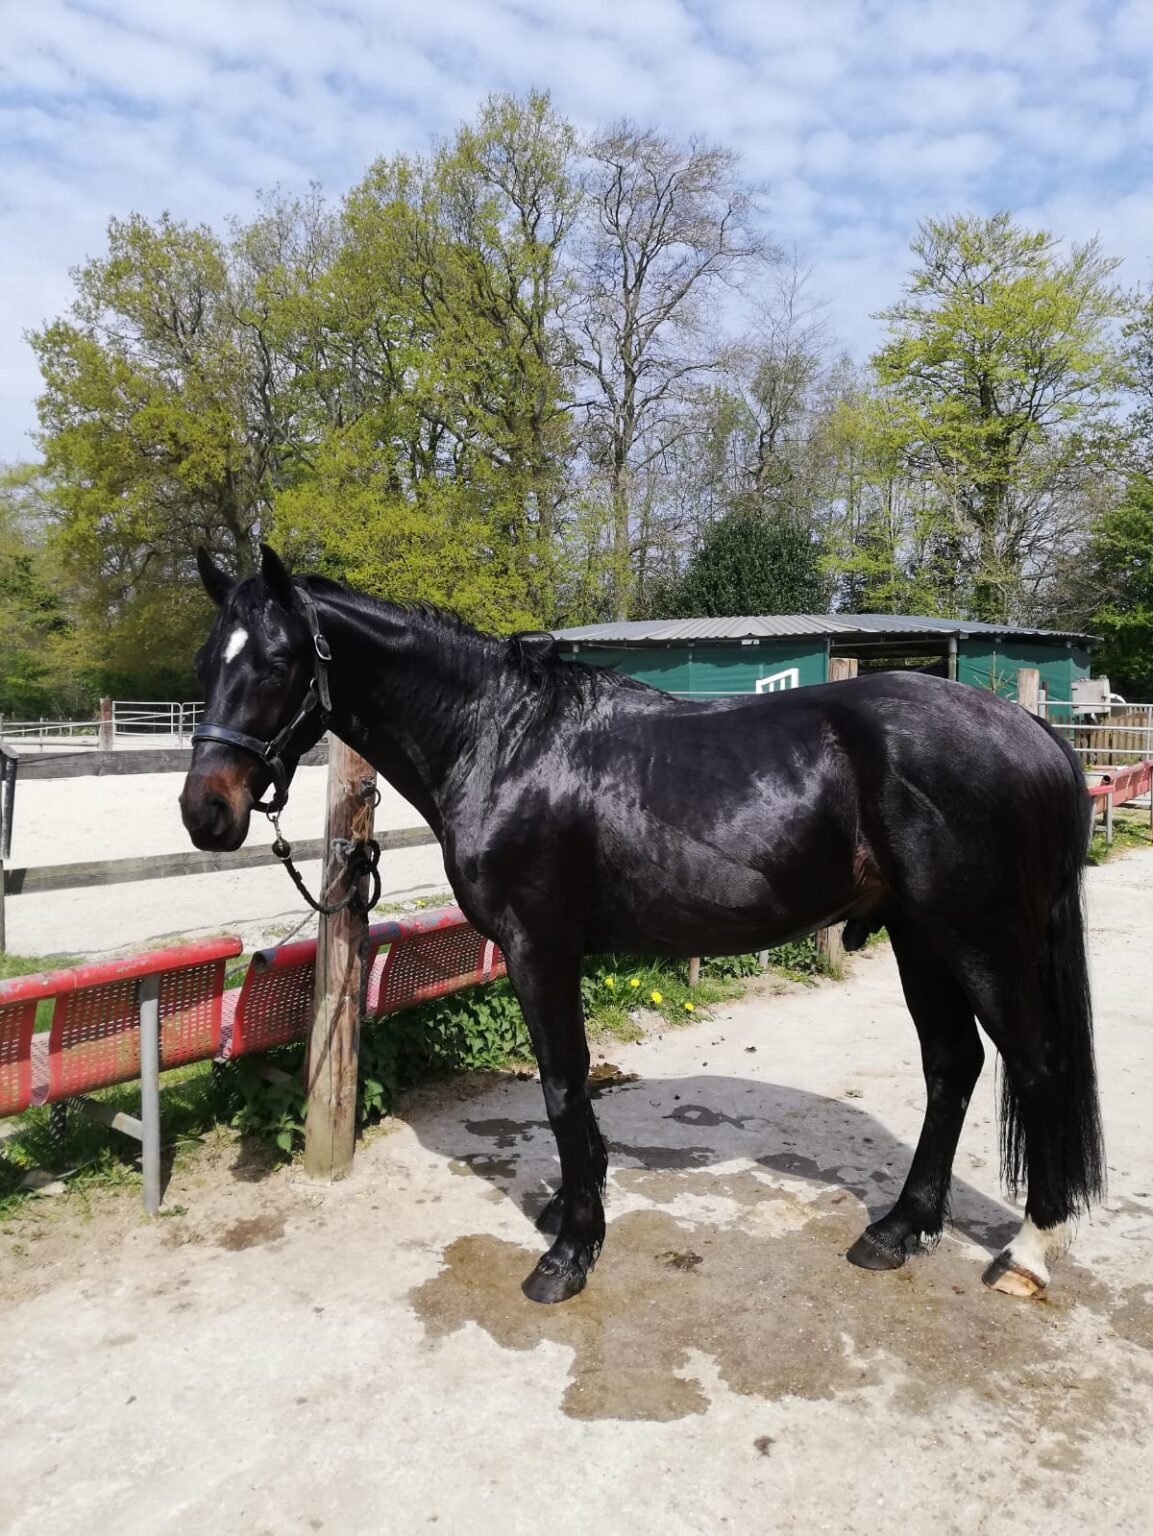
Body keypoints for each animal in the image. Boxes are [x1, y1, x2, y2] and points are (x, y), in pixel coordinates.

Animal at [185, 546, 1105, 1302]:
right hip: (921, 939)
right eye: (204, 661)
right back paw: (897, 1229)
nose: (206, 812)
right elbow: (570, 1090)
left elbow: (562, 1085)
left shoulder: (539, 947)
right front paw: (572, 1208)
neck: (504, 742)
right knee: (953, 1067)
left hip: (980, 943)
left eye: (277, 661)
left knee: (1036, 1067)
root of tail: (1031, 730)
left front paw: (569, 1252)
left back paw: (1027, 1252)